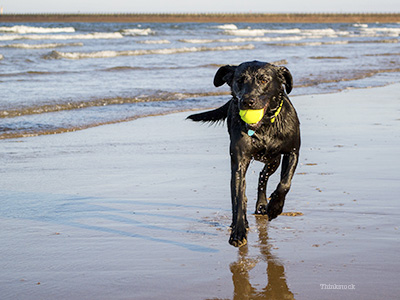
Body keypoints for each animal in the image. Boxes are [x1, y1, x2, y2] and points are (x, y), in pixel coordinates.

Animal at [188, 59, 300, 247]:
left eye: (263, 80)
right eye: (240, 80)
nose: (248, 101)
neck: (264, 127)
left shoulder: (293, 152)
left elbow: (285, 183)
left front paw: (275, 207)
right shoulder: (239, 162)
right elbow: (238, 198)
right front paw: (238, 230)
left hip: (274, 160)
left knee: (263, 176)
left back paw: (263, 205)